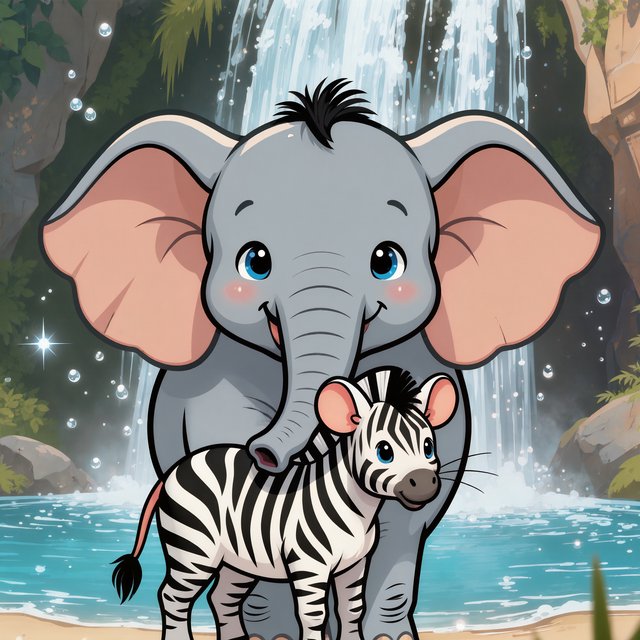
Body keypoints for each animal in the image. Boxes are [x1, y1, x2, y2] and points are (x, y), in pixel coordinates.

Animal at [112, 367, 458, 640]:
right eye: (384, 451)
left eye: (429, 447)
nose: (424, 484)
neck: (356, 507)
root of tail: (174, 470)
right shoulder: (309, 565)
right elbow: (313, 615)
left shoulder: (355, 565)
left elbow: (351, 609)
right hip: (194, 548)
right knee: (173, 597)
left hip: (239, 558)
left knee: (221, 597)